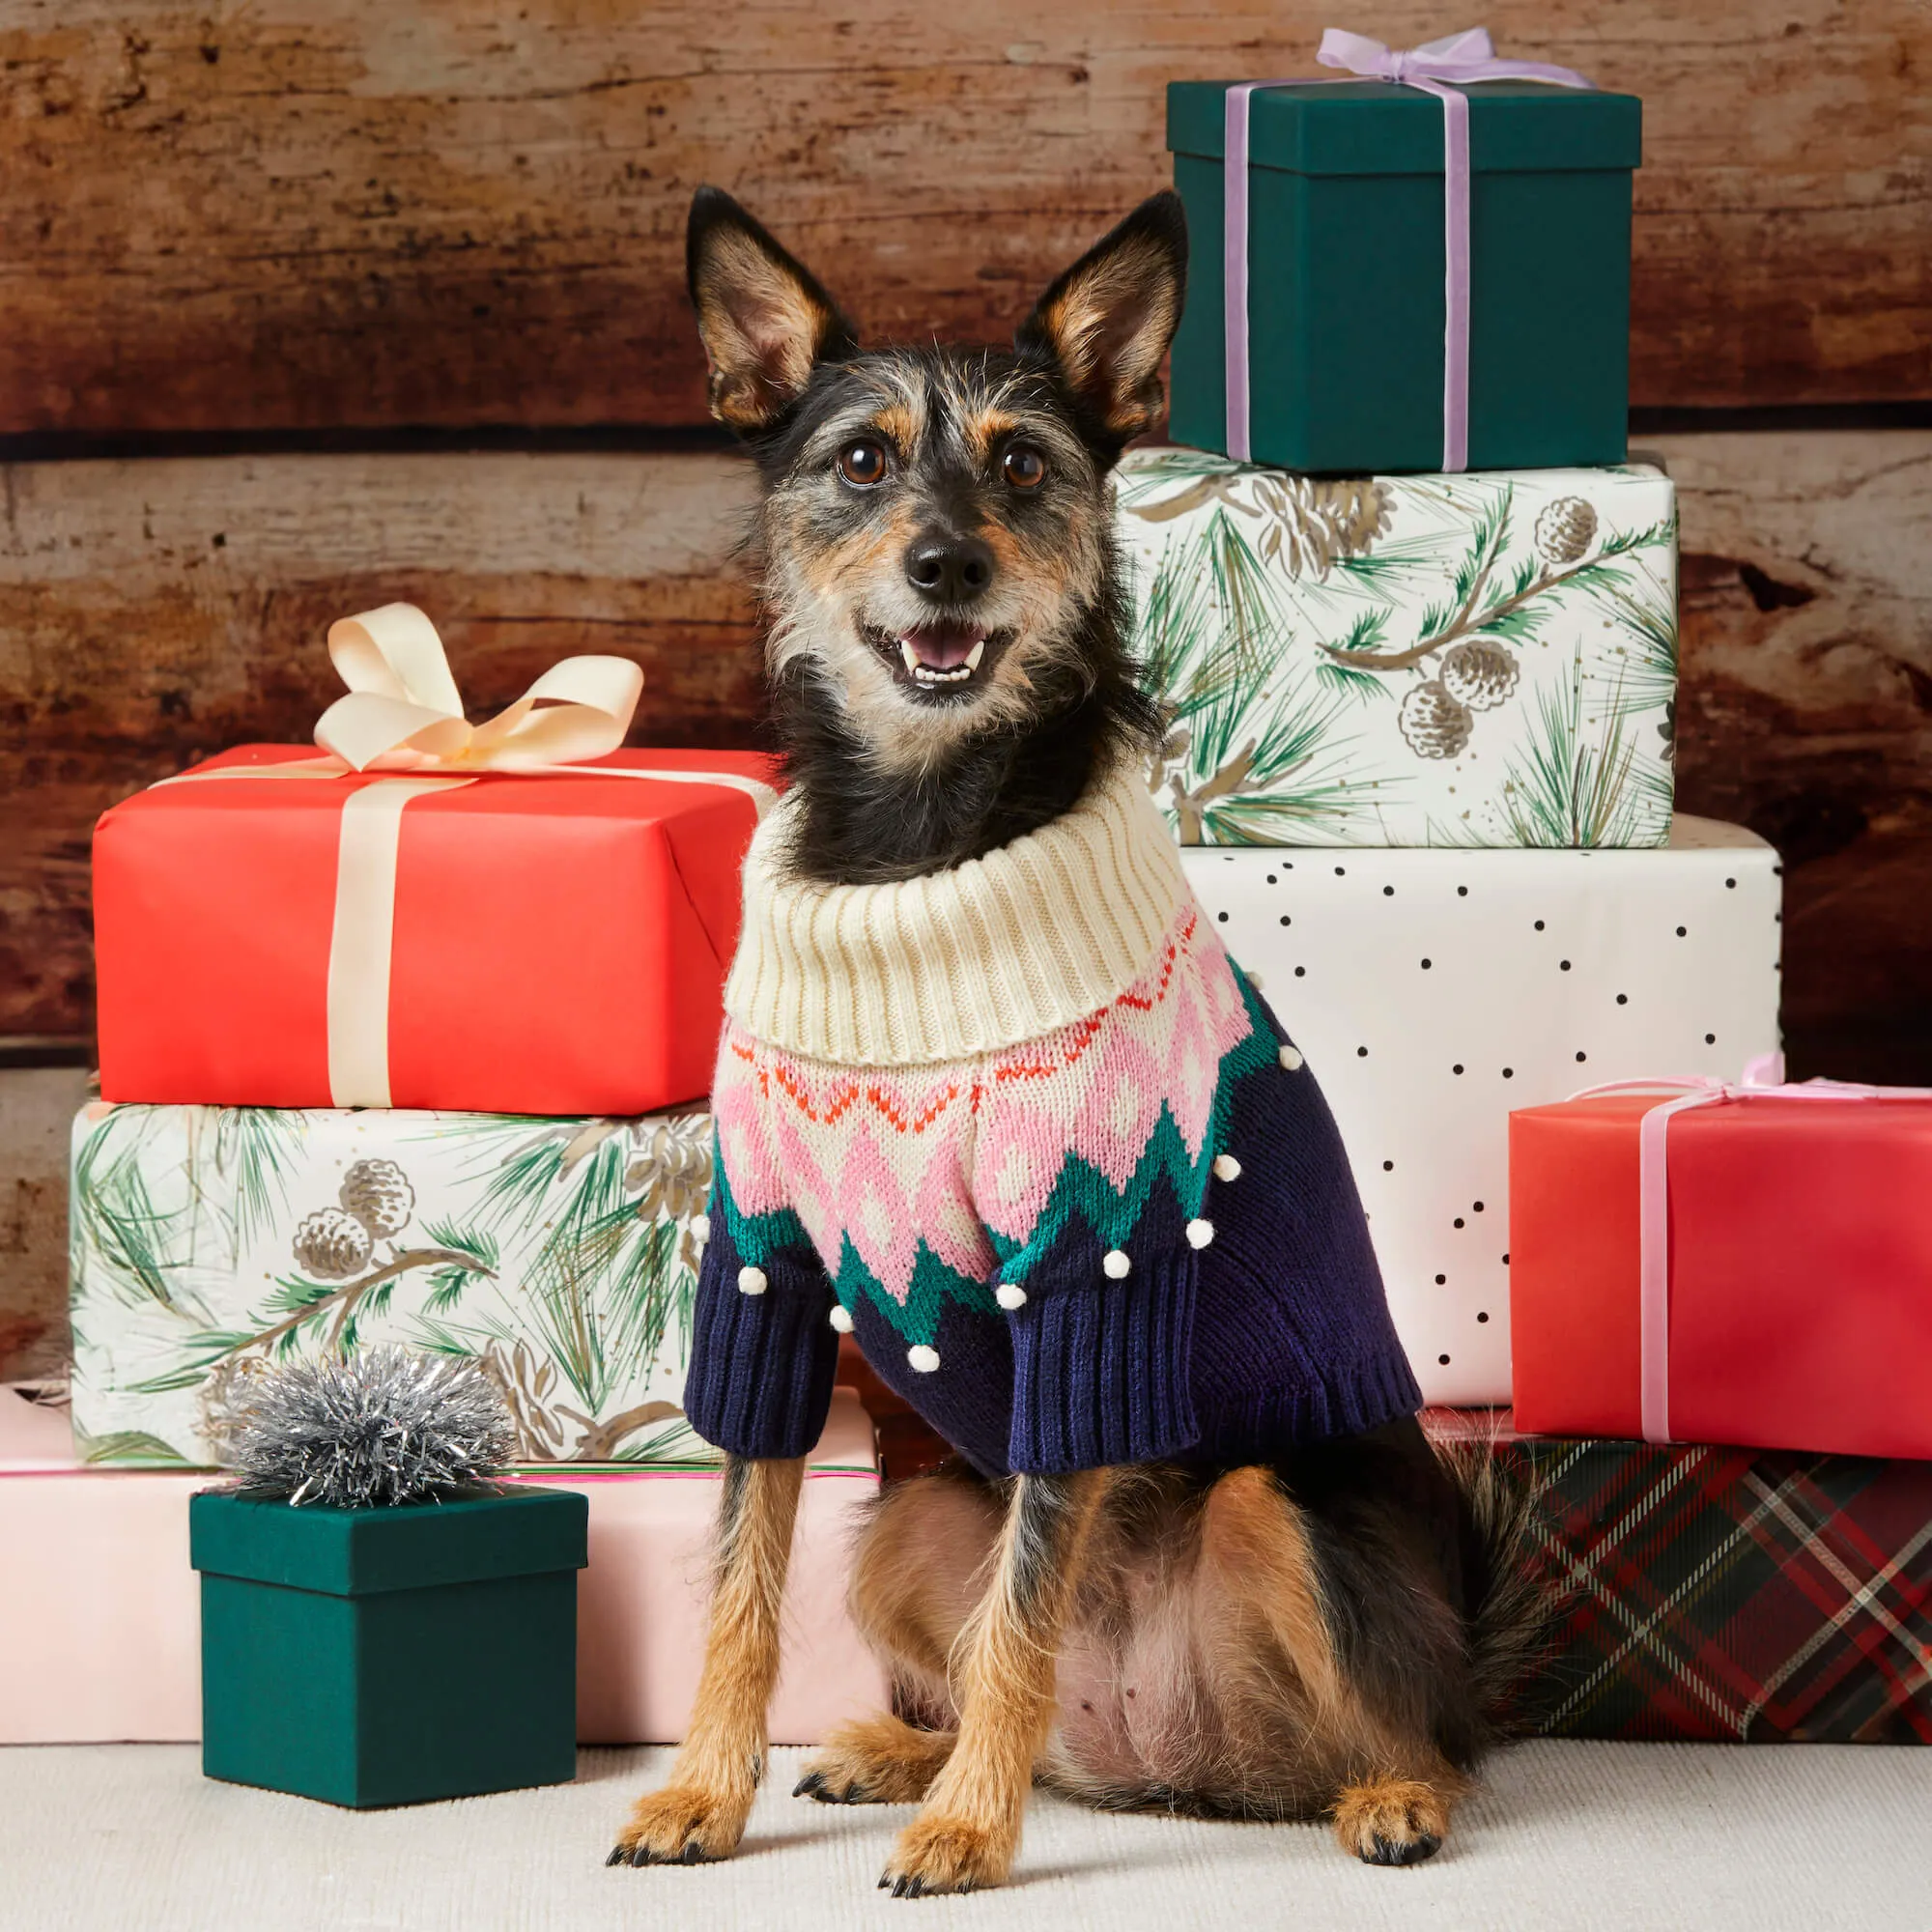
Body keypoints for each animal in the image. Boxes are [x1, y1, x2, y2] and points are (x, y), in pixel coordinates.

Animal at [603, 188, 1538, 1893]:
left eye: (1027, 464)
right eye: (861, 460)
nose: (948, 562)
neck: (920, 850)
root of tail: (1173, 1768)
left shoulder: (1091, 1279)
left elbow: (1024, 1619)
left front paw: (971, 1832)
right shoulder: (763, 1279)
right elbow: (743, 1584)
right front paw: (704, 1792)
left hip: (1278, 1508)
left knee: (1404, 1725)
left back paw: (1385, 1793)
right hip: (914, 1523)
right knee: (990, 1646)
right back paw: (898, 1752)